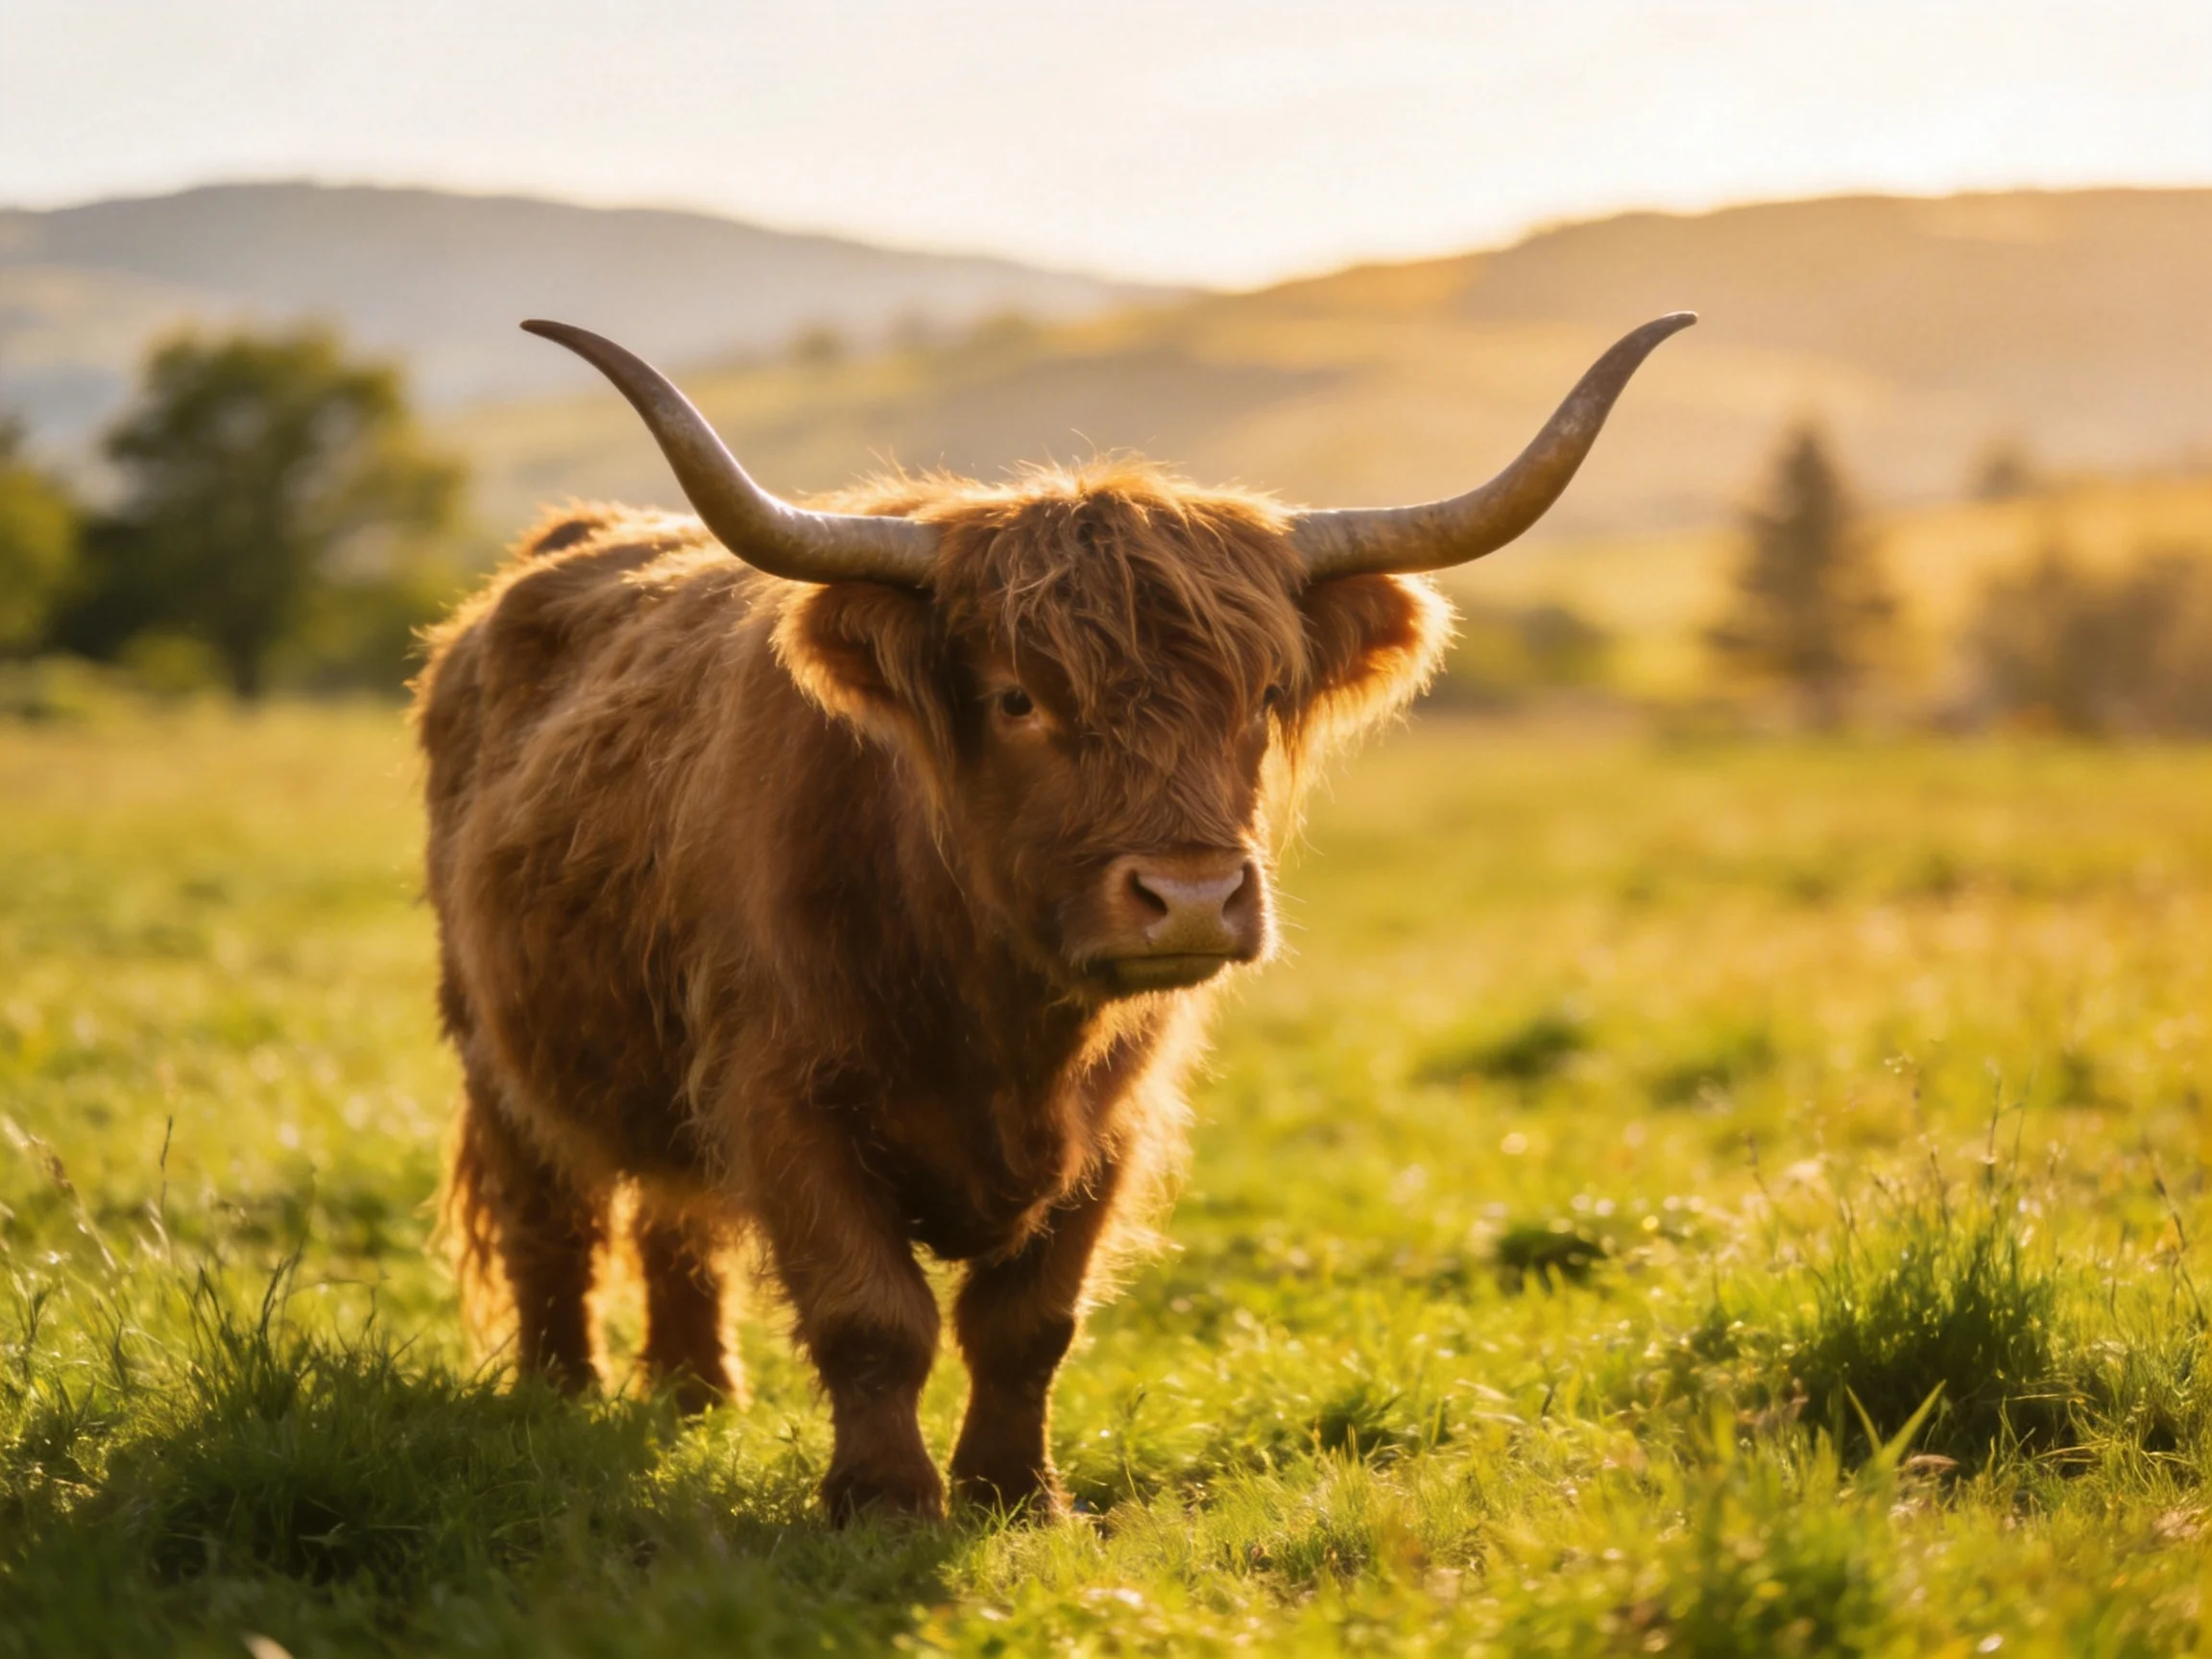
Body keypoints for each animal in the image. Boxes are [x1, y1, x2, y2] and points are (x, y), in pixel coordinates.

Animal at [416, 311, 1692, 1522]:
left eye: (1264, 694)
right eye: (1017, 698)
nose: (1191, 896)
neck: (996, 1011)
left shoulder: (1113, 1122)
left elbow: (1029, 1322)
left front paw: (1016, 1492)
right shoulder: (781, 1093)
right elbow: (871, 1313)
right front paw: (884, 1502)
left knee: (676, 1222)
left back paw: (696, 1395)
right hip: (492, 1044)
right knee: (553, 1219)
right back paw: (559, 1397)